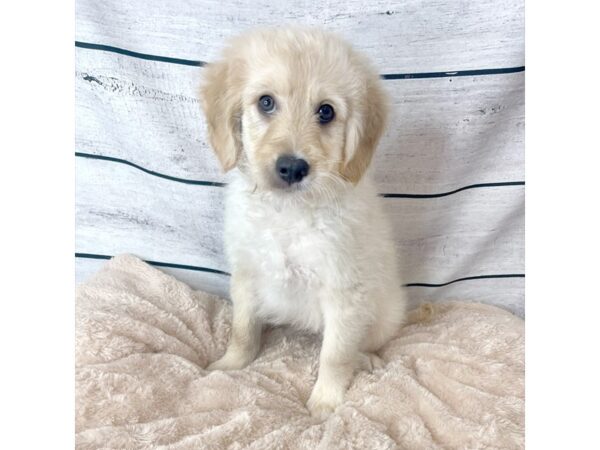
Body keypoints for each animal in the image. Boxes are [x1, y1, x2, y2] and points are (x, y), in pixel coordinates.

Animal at [199, 28, 406, 420]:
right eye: (266, 102)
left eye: (326, 111)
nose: (293, 168)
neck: (288, 211)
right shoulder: (247, 274)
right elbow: (242, 330)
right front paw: (230, 365)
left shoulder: (345, 292)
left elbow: (335, 355)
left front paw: (326, 400)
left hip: (383, 313)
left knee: (362, 344)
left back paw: (366, 359)